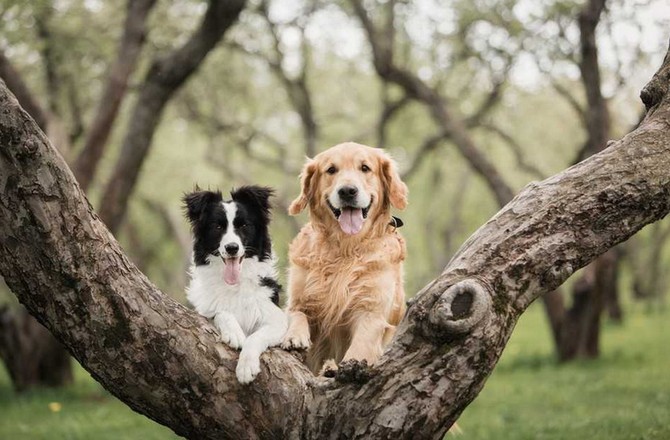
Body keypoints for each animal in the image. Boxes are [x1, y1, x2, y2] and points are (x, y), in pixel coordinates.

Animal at [185, 184, 288, 384]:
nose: (231, 248)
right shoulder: (205, 310)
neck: (235, 284)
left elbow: (255, 337)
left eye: (244, 226)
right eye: (218, 226)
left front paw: (246, 368)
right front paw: (234, 333)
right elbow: (222, 313)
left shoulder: (278, 320)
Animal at [280, 143, 406, 372]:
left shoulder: (371, 310)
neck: (345, 249)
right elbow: (296, 313)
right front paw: (294, 336)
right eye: (331, 170)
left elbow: (360, 346)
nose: (347, 191)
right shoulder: (298, 300)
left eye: (365, 168)